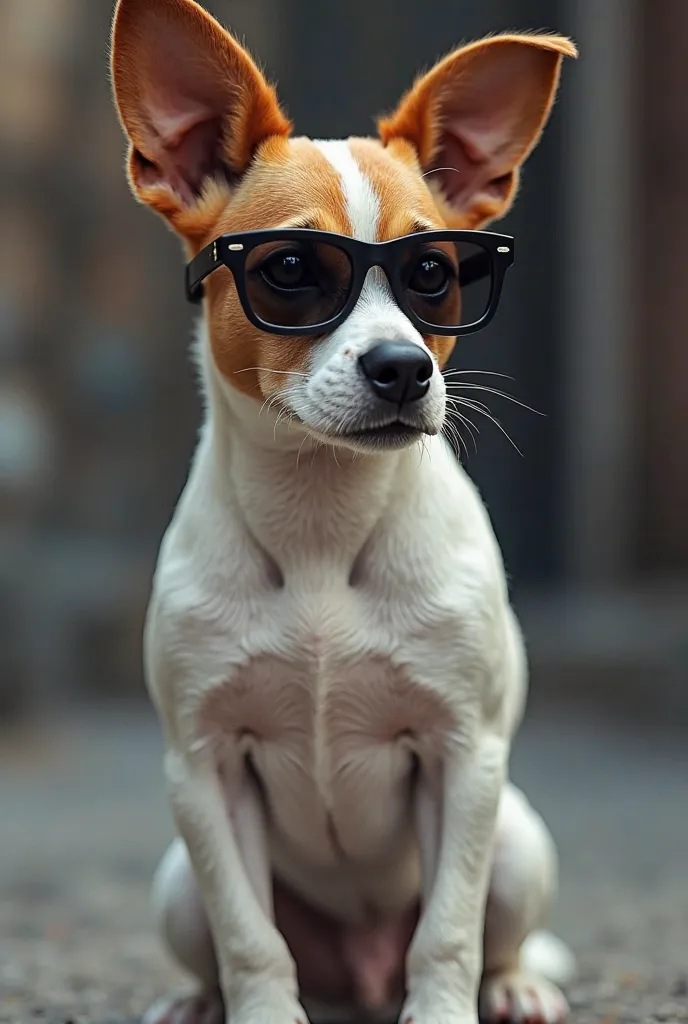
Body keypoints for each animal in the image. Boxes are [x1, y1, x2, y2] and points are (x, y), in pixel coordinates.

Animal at [110, 2, 577, 1024]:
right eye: (291, 269)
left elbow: (448, 932)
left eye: (435, 272)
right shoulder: (204, 768)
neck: (322, 518)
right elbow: (251, 938)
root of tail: (358, 981)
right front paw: (258, 1010)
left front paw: (444, 1010)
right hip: (174, 886)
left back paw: (515, 986)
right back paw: (198, 1001)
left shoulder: (463, 755)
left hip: (520, 840)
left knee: (494, 935)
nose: (404, 368)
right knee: (220, 942)